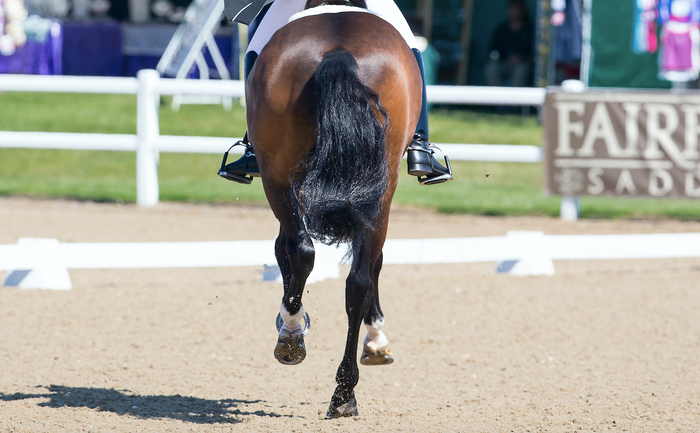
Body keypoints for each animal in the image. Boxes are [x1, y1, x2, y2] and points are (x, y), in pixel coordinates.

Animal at [245, 0, 422, 418]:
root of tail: (338, 51)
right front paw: (375, 339)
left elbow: (284, 251)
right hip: (380, 188)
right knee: (356, 279)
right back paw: (343, 393)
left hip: (277, 177)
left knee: (301, 250)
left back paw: (292, 337)